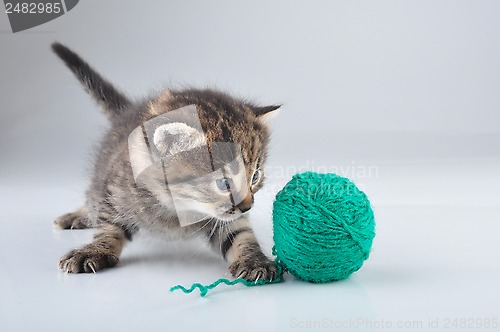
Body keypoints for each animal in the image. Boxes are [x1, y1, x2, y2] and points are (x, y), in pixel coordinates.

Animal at [53, 40, 284, 280]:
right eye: (223, 183)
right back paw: (79, 215)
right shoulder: (116, 189)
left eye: (255, 177)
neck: (177, 206)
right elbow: (108, 225)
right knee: (93, 196)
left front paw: (254, 260)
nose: (247, 207)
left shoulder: (227, 219)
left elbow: (240, 233)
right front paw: (93, 250)